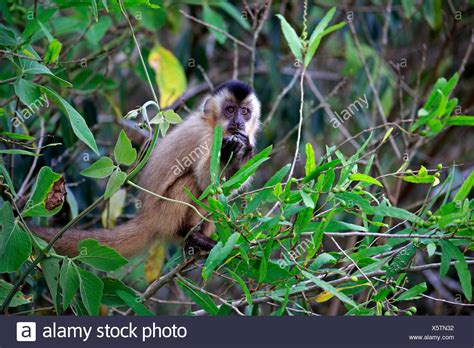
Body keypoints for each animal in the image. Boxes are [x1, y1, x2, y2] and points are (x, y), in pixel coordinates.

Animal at [35, 80, 262, 256]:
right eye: (230, 110)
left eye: (245, 112)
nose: (239, 122)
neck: (216, 126)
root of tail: (146, 217)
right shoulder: (205, 136)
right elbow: (207, 181)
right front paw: (229, 151)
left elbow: (226, 188)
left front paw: (245, 149)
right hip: (164, 215)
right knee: (192, 183)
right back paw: (189, 233)